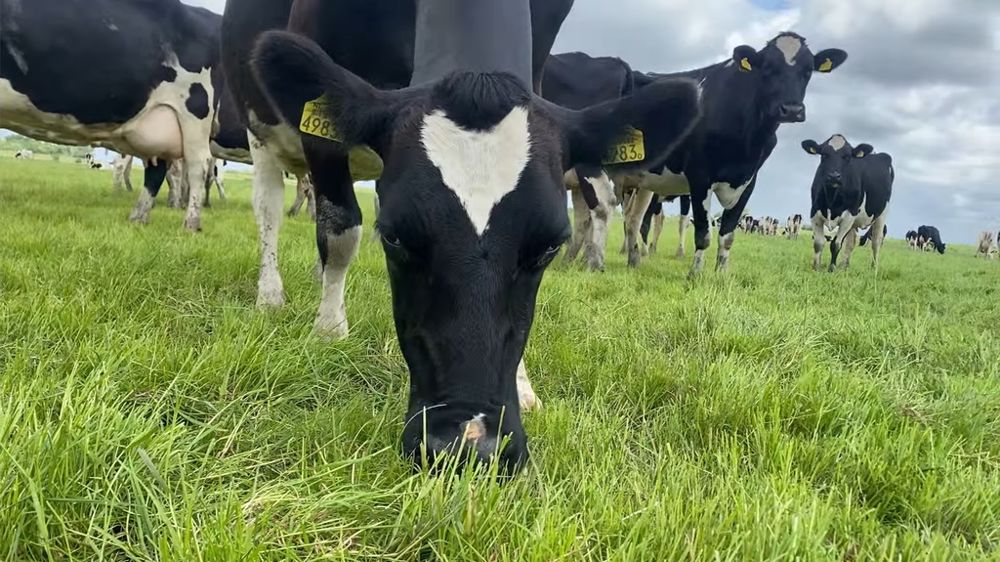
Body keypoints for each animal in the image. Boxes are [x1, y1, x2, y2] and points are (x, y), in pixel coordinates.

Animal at [224, 0, 702, 472]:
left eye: (550, 245)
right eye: (394, 237)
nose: (469, 445)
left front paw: (524, 385)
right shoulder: (320, 123)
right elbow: (341, 229)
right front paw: (329, 331)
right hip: (259, 129)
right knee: (269, 206)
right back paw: (271, 294)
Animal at [803, 134, 893, 271]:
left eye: (847, 157)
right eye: (824, 154)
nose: (834, 176)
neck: (832, 200)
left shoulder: (849, 215)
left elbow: (836, 244)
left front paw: (831, 269)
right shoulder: (814, 213)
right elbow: (818, 243)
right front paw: (816, 268)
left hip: (882, 215)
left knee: (876, 242)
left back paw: (874, 268)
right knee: (851, 241)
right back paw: (844, 267)